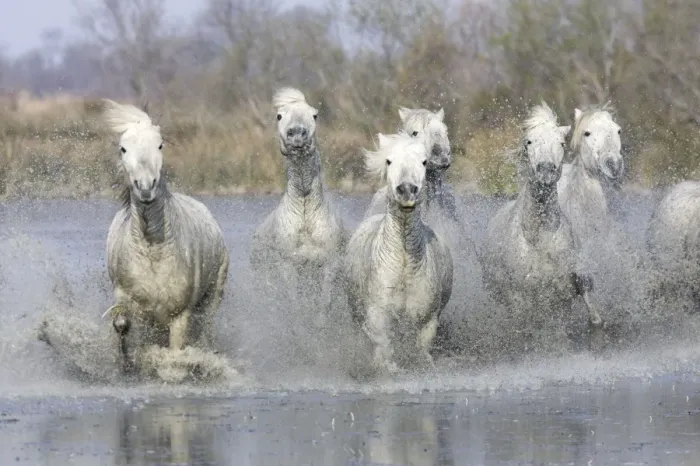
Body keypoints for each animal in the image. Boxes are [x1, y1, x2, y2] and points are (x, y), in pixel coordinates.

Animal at [100, 99, 230, 377]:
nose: (146, 187)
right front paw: (127, 364)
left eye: (160, 145)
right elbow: (122, 323)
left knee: (206, 328)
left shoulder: (180, 316)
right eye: (123, 148)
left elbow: (176, 353)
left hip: (213, 295)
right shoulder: (128, 300)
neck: (152, 249)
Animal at [341, 132, 453, 376]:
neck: (403, 264)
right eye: (389, 161)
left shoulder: (428, 319)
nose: (407, 190)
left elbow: (421, 349)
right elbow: (382, 346)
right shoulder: (377, 314)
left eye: (424, 162)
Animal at [481, 103, 603, 357]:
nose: (545, 170)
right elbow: (528, 331)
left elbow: (591, 316)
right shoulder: (520, 298)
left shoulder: (566, 290)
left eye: (561, 143)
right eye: (529, 142)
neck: (538, 238)